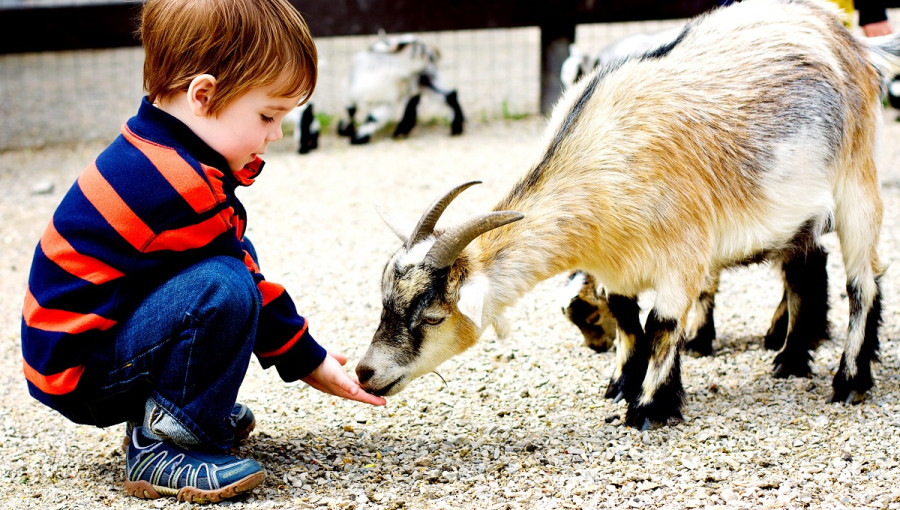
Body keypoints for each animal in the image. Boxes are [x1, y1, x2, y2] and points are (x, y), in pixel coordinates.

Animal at [336, 33, 464, 145]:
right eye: (421, 47)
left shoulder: (386, 102)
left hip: (421, 81)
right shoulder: (351, 92)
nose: (437, 52)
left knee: (440, 96)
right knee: (448, 95)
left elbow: (373, 118)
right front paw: (345, 130)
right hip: (425, 81)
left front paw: (358, 138)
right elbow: (350, 110)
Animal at [356, 0, 892, 430]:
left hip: (856, 179)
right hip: (796, 213)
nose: (366, 372)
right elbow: (629, 323)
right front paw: (620, 385)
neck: (600, 166)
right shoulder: (614, 268)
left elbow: (661, 325)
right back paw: (790, 358)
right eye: (384, 302)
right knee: (807, 268)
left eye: (432, 316)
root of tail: (844, 35)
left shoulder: (683, 257)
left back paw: (849, 380)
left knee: (861, 284)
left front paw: (650, 408)